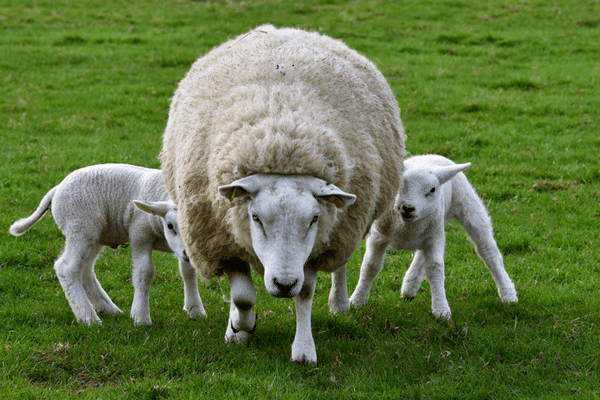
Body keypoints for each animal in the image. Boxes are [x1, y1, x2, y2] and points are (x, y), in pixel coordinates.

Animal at [8, 162, 206, 324]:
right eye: (170, 225)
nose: (187, 253)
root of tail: (56, 190)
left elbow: (188, 273)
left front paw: (195, 310)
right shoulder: (139, 234)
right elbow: (145, 273)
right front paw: (141, 317)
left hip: (94, 235)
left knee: (85, 270)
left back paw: (108, 309)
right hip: (79, 227)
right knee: (67, 268)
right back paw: (88, 318)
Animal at [158, 23, 408, 364]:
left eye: (314, 218)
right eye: (255, 218)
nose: (283, 283)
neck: (280, 140)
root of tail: (283, 29)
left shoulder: (316, 247)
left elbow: (305, 293)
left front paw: (303, 350)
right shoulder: (222, 240)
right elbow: (243, 297)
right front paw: (239, 327)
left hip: (342, 227)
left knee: (340, 265)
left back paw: (339, 302)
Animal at [350, 155, 516, 320]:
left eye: (432, 189)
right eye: (400, 184)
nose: (408, 208)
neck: (405, 227)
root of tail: (432, 156)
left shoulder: (434, 238)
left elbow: (436, 269)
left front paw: (441, 310)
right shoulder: (377, 236)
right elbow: (370, 266)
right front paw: (357, 300)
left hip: (467, 207)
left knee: (488, 251)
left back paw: (508, 293)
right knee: (421, 255)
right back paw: (409, 287)